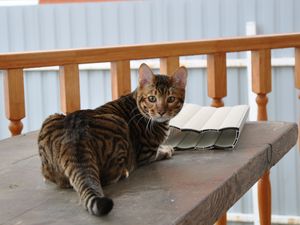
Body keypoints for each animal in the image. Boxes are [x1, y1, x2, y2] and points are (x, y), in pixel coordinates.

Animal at [37, 63, 188, 216]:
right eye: (152, 98)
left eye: (170, 99)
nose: (161, 112)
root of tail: (75, 136)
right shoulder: (146, 153)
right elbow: (159, 151)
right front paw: (167, 149)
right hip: (119, 124)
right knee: (108, 177)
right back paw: (124, 172)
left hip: (51, 119)